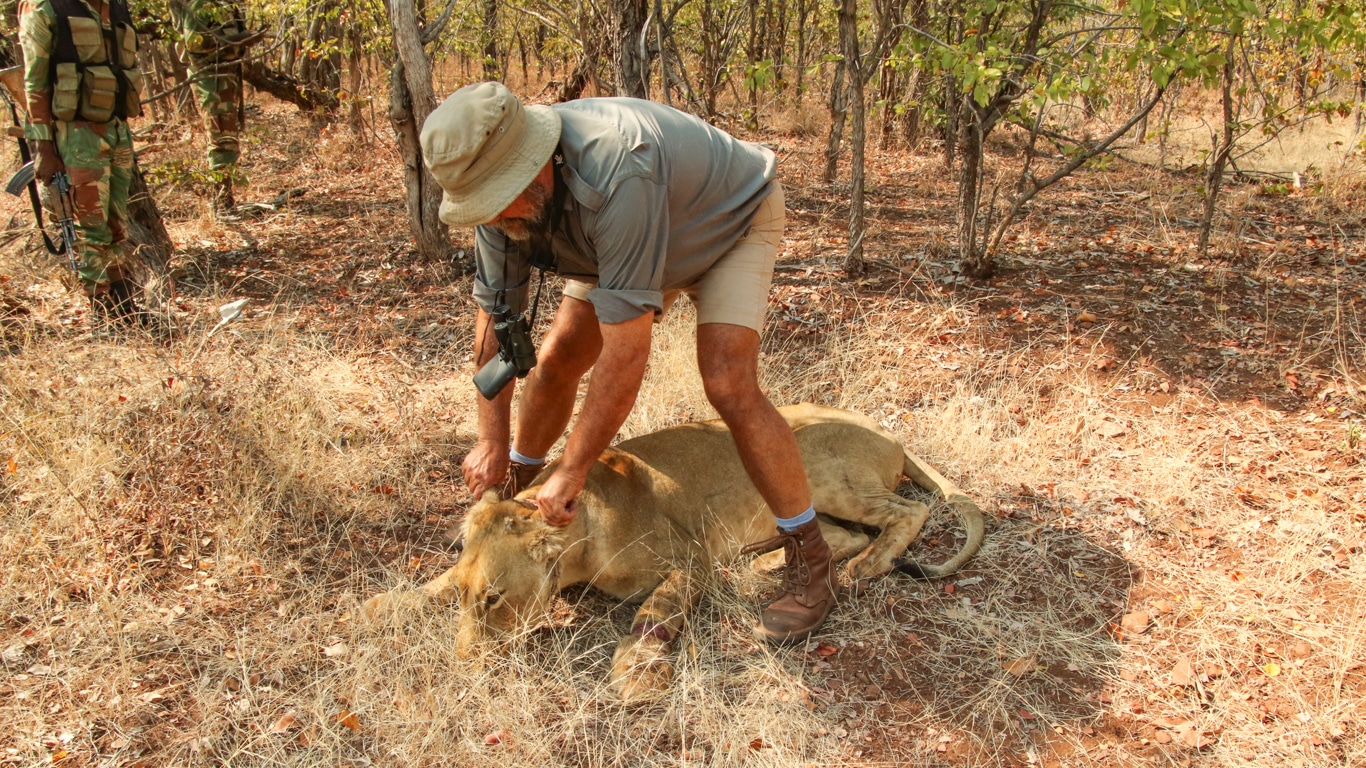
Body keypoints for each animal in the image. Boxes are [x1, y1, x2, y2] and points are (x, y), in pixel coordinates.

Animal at [361, 403, 984, 701]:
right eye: (471, 596)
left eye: (494, 600)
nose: (465, 661)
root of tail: (886, 428)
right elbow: (437, 581)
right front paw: (379, 607)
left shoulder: (688, 561)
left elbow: (653, 613)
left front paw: (635, 677)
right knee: (841, 535)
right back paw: (765, 565)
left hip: (818, 468)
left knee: (905, 515)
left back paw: (866, 567)